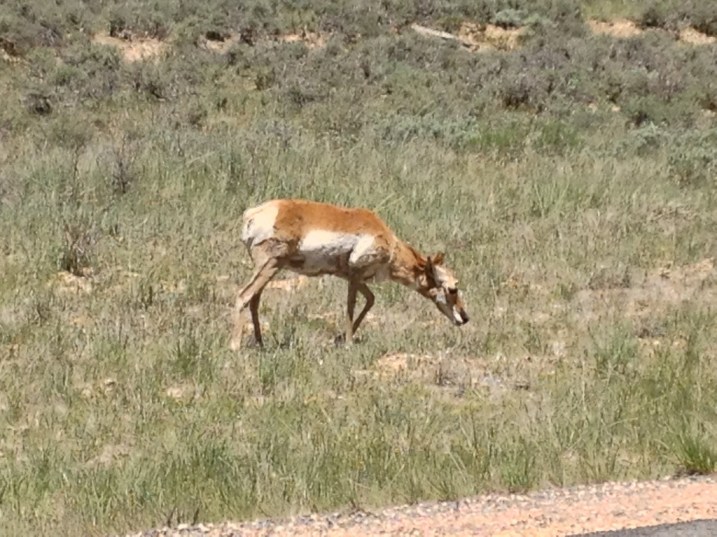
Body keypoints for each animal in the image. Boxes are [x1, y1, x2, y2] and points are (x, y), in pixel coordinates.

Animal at [231, 199, 469, 349]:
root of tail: (253, 214)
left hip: (268, 268)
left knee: (254, 299)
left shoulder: (350, 276)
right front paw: (346, 343)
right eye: (453, 288)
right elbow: (351, 305)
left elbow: (370, 299)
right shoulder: (355, 275)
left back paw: (260, 343)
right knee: (244, 295)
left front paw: (340, 338)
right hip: (270, 265)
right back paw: (235, 346)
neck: (389, 243)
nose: (465, 317)